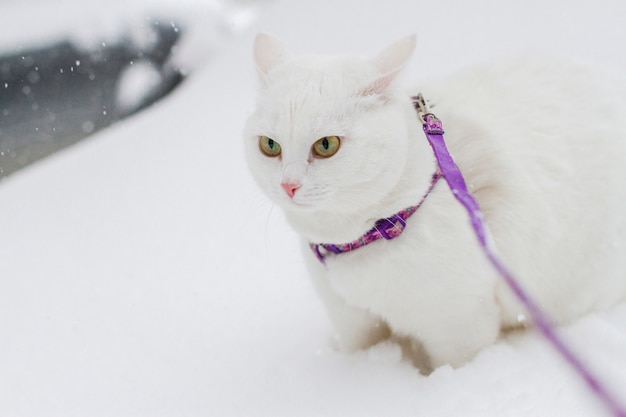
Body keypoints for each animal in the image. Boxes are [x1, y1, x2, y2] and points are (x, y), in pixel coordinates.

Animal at [241, 34, 624, 368]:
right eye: (270, 146)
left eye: (326, 145)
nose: (288, 185)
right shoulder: (353, 323)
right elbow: (357, 349)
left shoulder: (458, 328)